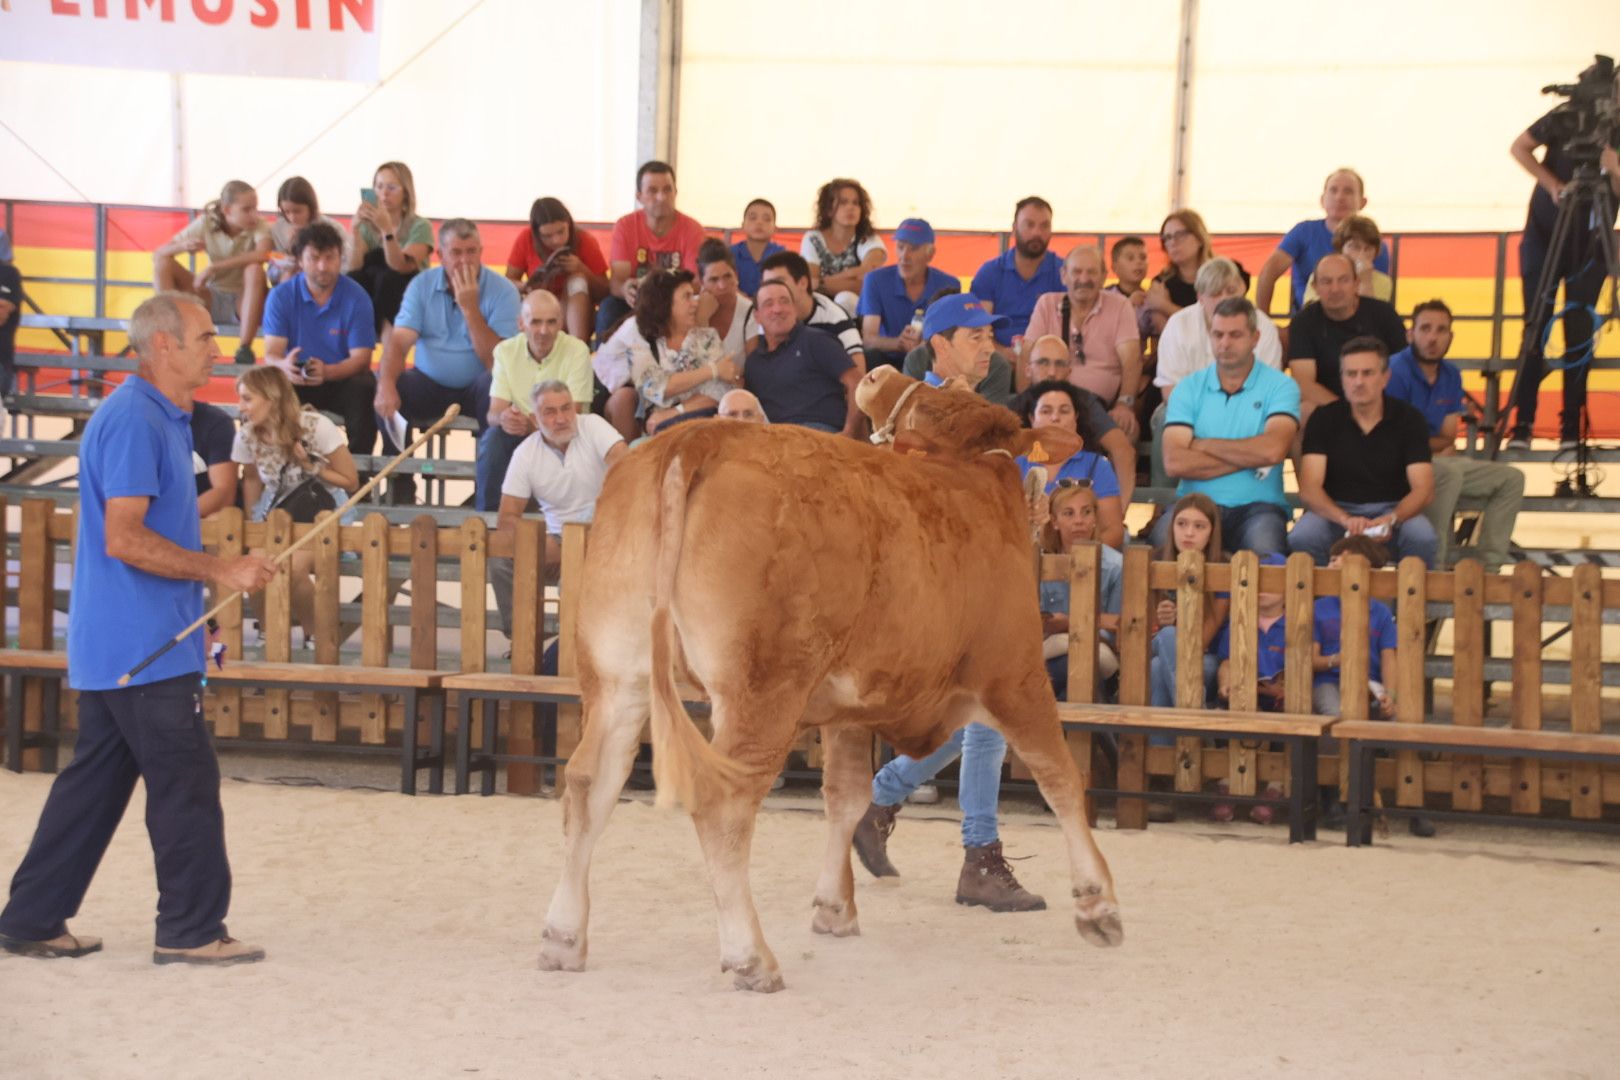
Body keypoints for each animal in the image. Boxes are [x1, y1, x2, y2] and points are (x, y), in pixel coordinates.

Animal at [537, 367, 1121, 990]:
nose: (879, 372)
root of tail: (698, 438)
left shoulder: (850, 706)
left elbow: (845, 795)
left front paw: (835, 907)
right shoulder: (1014, 673)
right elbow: (1059, 776)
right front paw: (1098, 904)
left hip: (616, 678)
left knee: (589, 784)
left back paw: (563, 937)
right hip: (763, 690)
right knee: (722, 803)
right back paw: (750, 955)